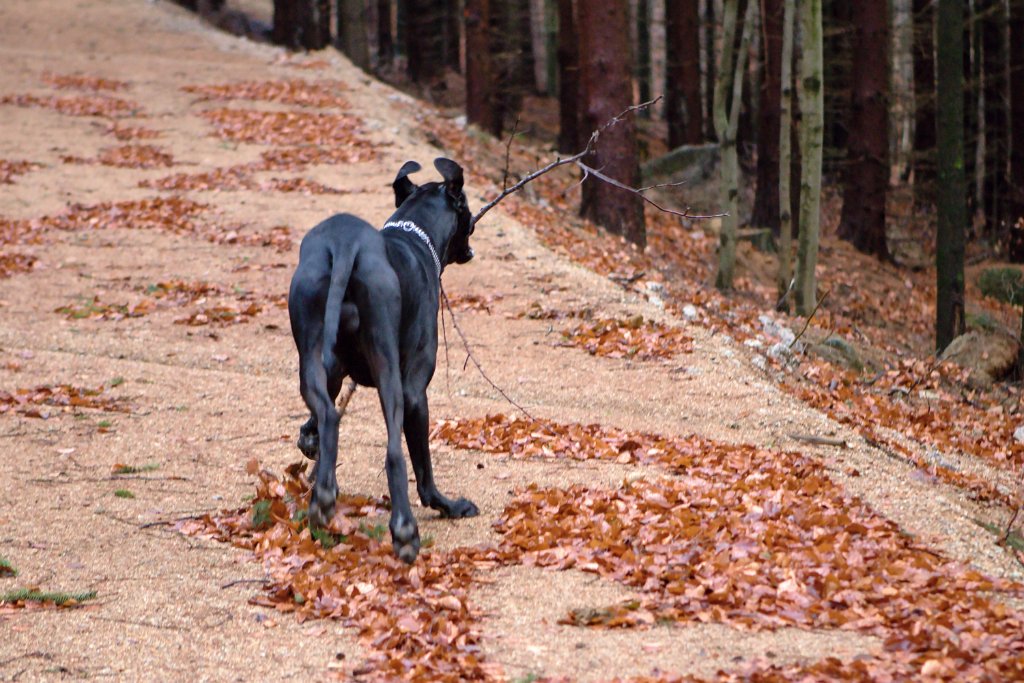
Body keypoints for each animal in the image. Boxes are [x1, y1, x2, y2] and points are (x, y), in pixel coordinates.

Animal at [288, 157, 479, 565]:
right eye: (467, 210)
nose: (471, 245)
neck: (415, 235)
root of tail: (346, 243)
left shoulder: (333, 370)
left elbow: (318, 418)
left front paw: (308, 440)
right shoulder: (416, 391)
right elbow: (422, 466)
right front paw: (446, 505)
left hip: (310, 350)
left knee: (329, 415)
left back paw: (323, 496)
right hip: (390, 371)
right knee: (394, 454)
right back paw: (405, 531)